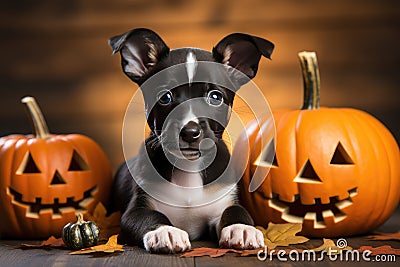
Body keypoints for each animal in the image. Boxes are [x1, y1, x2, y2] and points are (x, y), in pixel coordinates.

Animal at [108, 28, 274, 254]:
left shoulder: (223, 202)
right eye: (165, 97)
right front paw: (165, 231)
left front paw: (241, 228)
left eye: (215, 97)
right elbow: (151, 216)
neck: (188, 168)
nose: (190, 132)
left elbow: (236, 211)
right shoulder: (134, 212)